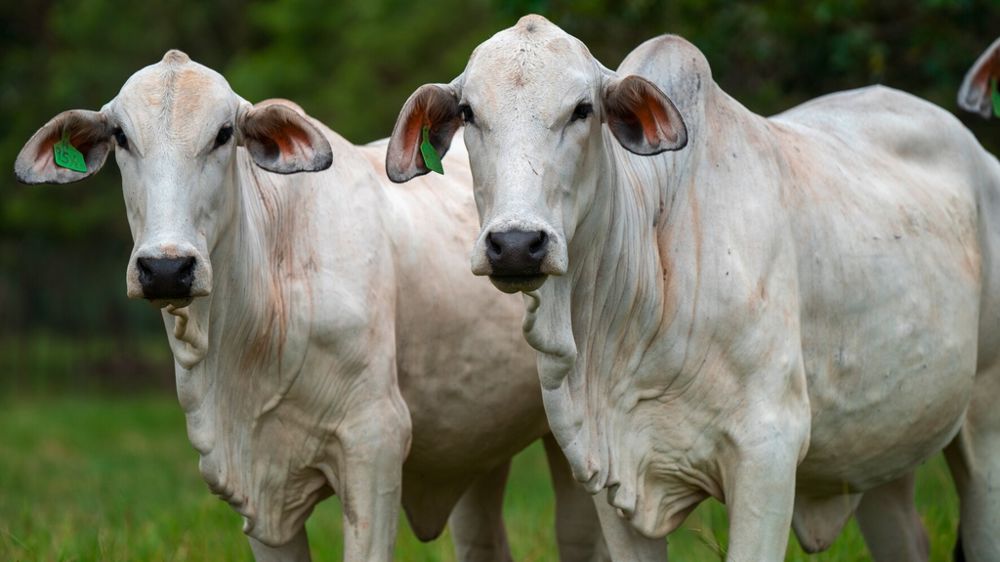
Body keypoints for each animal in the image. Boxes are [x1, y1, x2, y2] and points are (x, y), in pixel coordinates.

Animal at [14, 50, 609, 562]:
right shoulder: (258, 490)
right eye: (121, 136)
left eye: (223, 134)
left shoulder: (374, 443)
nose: (166, 267)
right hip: (477, 440)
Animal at [386, 15, 1000, 562]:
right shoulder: (606, 471)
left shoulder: (768, 455)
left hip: (984, 423)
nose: (516, 244)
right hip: (878, 446)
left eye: (583, 109)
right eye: (469, 113)